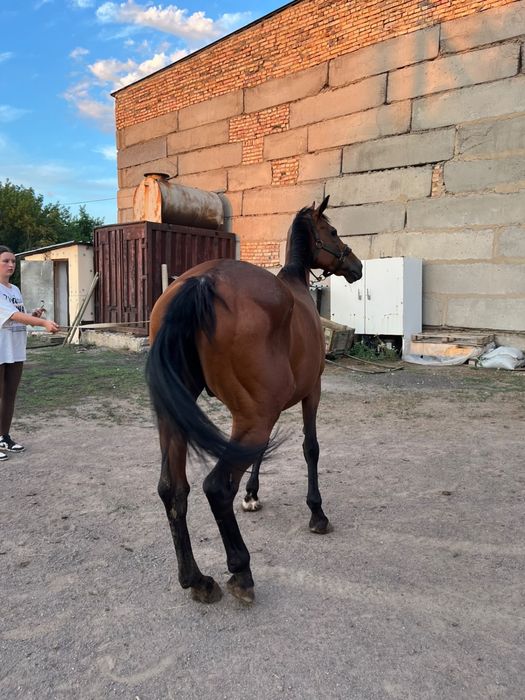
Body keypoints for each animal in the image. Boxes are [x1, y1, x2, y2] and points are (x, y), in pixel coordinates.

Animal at [146, 195, 362, 604]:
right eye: (332, 231)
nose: (356, 266)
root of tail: (202, 282)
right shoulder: (311, 392)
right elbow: (311, 448)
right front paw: (317, 513)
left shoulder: (265, 412)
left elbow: (260, 456)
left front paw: (252, 494)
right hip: (255, 419)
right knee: (216, 487)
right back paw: (241, 571)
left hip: (180, 419)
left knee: (172, 490)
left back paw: (196, 579)